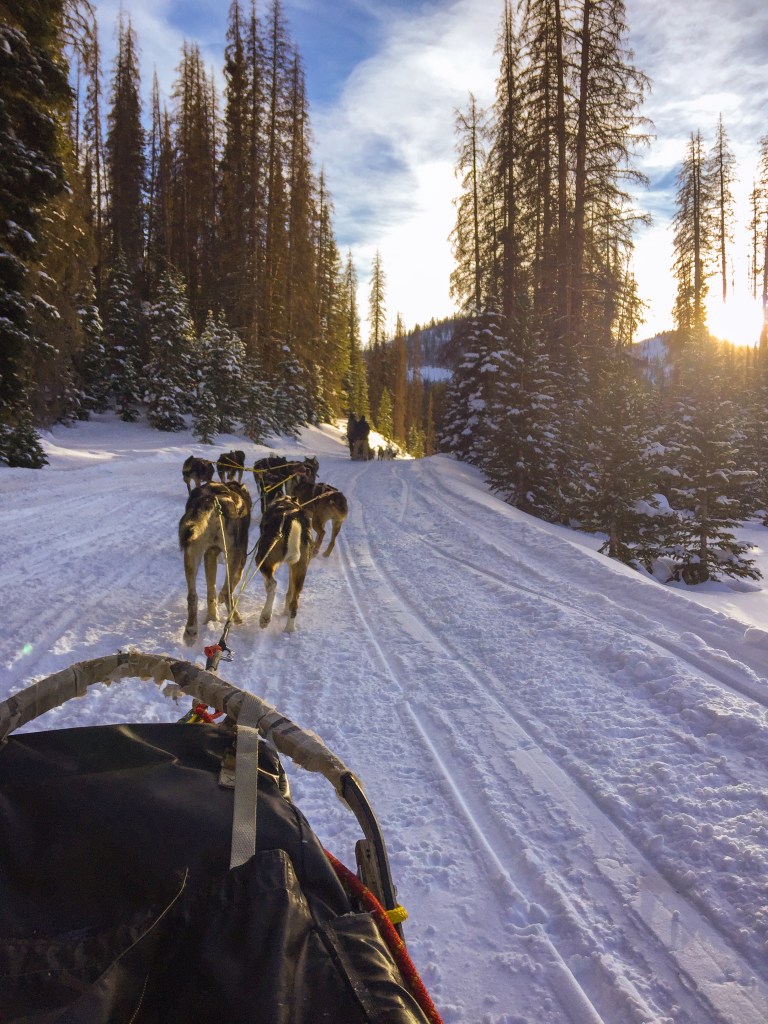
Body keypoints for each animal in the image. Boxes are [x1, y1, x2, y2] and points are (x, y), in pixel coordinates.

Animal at [178, 481, 252, 643]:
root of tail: (211, 499)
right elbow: (230, 586)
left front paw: (212, 618)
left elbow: (211, 592)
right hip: (233, 553)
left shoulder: (209, 554)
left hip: (192, 554)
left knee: (192, 596)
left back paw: (191, 631)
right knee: (228, 590)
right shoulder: (240, 554)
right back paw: (235, 616)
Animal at [256, 494, 312, 632]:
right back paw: (289, 629)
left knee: (273, 585)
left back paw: (265, 617)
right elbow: (289, 593)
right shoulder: (293, 568)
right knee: (294, 603)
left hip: (262, 559)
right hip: (300, 569)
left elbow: (268, 584)